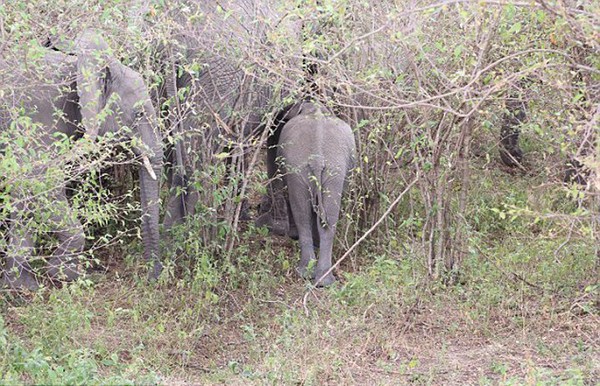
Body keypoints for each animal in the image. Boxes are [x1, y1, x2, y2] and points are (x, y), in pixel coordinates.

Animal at [0, 29, 163, 290]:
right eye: (138, 114)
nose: (152, 278)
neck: (82, 69)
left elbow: (23, 191)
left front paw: (23, 287)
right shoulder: (37, 113)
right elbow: (39, 182)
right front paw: (65, 275)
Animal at [276, 102, 356, 286]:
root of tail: (317, 158)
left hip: (300, 168)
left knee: (302, 214)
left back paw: (306, 273)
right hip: (333, 169)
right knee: (327, 218)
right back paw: (323, 280)